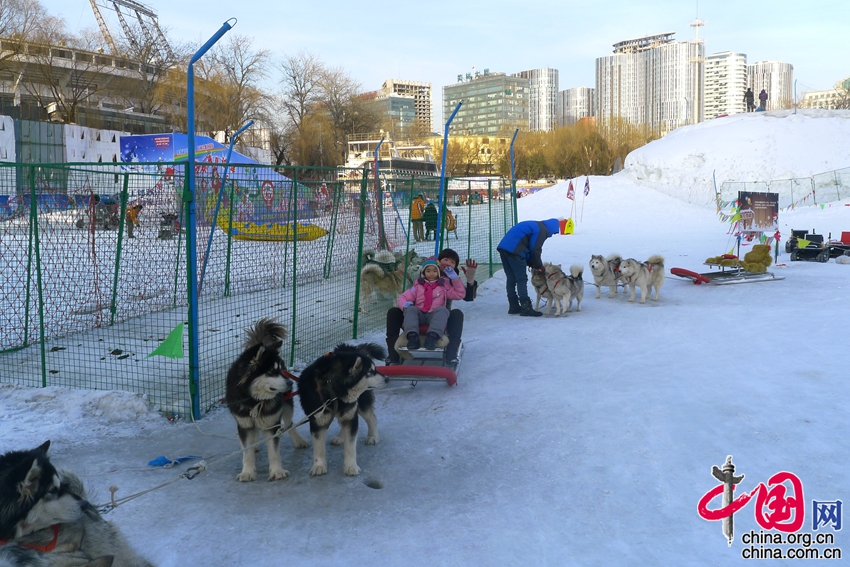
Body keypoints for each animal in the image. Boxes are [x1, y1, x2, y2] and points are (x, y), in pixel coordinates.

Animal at [225, 318, 308, 482]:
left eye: (280, 370)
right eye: (271, 372)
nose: (290, 383)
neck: (254, 400)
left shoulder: (271, 423)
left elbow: (274, 452)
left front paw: (277, 471)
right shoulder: (244, 424)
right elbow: (247, 452)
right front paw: (247, 472)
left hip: (287, 405)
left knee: (289, 424)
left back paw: (298, 440)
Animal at [298, 344, 388, 478]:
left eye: (375, 369)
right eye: (370, 372)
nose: (387, 379)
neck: (332, 388)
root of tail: (353, 348)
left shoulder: (351, 415)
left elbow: (350, 446)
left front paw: (350, 466)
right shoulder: (317, 421)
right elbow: (318, 447)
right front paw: (319, 466)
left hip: (360, 404)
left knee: (371, 417)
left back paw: (372, 436)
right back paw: (340, 437)